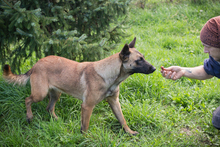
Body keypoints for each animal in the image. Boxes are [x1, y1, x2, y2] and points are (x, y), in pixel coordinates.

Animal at [3, 37, 155, 135]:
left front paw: (129, 132)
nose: (154, 68)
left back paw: (56, 120)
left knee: (49, 108)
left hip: (56, 94)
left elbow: (122, 120)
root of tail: (36, 64)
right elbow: (85, 126)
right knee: (27, 100)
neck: (108, 74)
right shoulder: (87, 106)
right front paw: (85, 139)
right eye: (139, 60)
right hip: (40, 94)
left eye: (143, 58)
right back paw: (29, 117)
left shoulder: (114, 102)